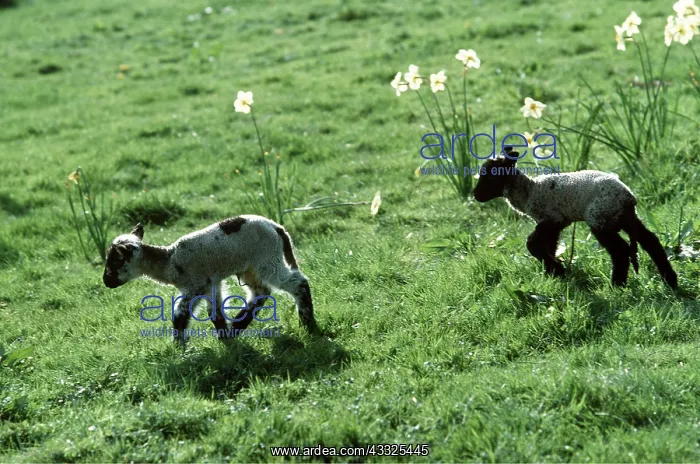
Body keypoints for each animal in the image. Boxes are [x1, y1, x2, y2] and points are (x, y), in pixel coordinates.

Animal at [102, 215, 317, 346]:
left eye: (114, 261)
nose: (106, 281)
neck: (169, 261)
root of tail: (277, 227)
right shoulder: (210, 284)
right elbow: (215, 313)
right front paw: (225, 340)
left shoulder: (194, 285)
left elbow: (179, 314)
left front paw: (178, 347)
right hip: (250, 267)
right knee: (261, 292)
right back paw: (236, 327)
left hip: (267, 258)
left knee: (298, 283)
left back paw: (308, 324)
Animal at [472, 148, 678, 289]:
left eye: (490, 176)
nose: (475, 195)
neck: (529, 191)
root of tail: (628, 197)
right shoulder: (557, 223)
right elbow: (550, 245)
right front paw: (554, 272)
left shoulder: (551, 218)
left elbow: (532, 244)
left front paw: (557, 269)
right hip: (625, 218)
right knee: (650, 240)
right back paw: (671, 280)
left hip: (600, 217)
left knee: (620, 250)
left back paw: (617, 285)